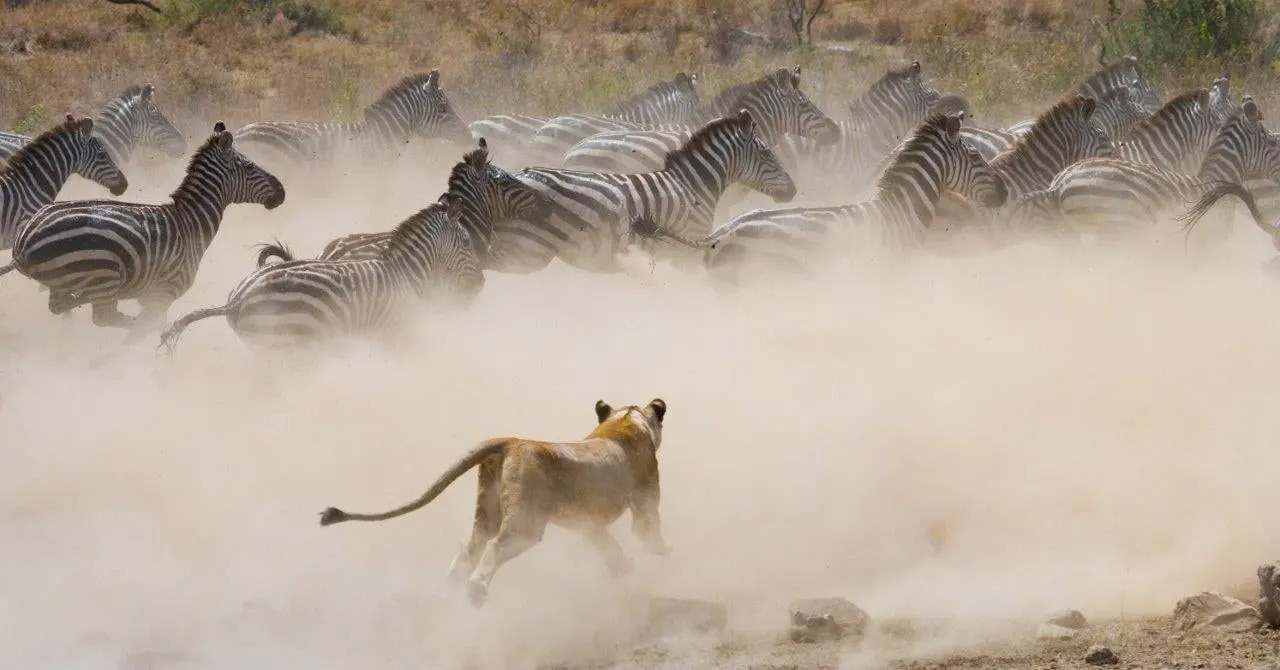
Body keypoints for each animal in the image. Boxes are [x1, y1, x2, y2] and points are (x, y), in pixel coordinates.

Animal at [318, 397, 671, 607]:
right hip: (526, 523)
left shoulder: (586, 522)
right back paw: (475, 591)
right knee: (494, 547)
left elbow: (605, 544)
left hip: (486, 512)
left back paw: (448, 593)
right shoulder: (645, 498)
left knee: (468, 552)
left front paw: (623, 568)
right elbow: (648, 531)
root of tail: (510, 441)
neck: (626, 421)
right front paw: (661, 553)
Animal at [487, 108, 798, 275]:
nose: (793, 191)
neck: (693, 186)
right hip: (526, 249)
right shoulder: (684, 249)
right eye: (767, 153)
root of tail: (517, 174)